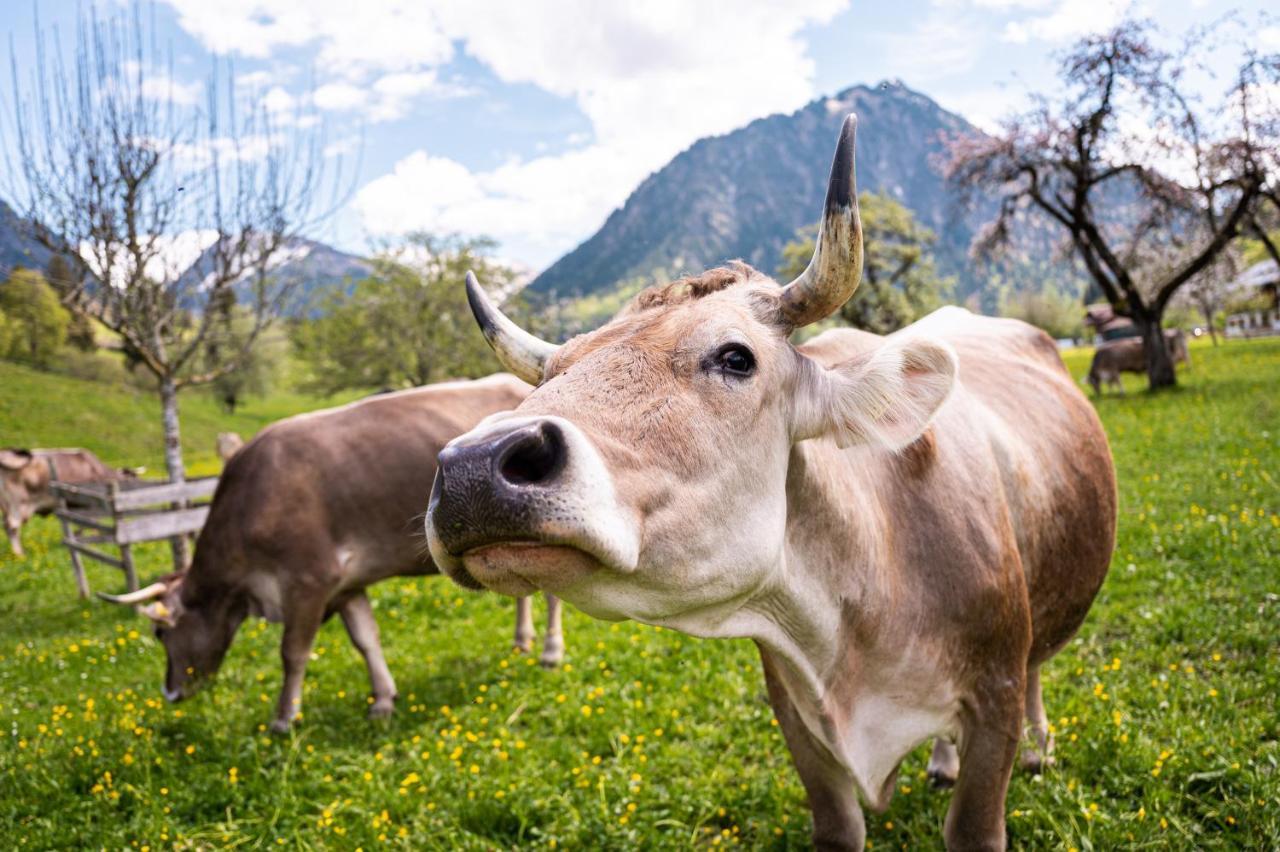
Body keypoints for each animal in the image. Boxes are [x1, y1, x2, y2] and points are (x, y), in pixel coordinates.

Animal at [99, 373, 560, 731]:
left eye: (160, 633)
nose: (169, 691)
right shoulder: (346, 586)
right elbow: (366, 639)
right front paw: (383, 700)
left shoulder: (309, 579)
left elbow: (292, 652)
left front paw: (284, 719)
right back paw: (522, 641)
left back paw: (550, 652)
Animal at [427, 114, 1111, 849]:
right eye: (554, 375)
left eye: (736, 357)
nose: (473, 466)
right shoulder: (799, 721)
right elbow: (838, 825)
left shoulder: (994, 699)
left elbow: (977, 823)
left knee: (1038, 666)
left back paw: (1039, 750)